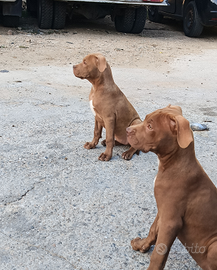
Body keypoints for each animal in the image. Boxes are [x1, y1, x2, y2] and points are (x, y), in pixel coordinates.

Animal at [126, 105, 217, 270]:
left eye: (150, 126)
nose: (127, 130)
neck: (172, 164)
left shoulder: (171, 221)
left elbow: (158, 253)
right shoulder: (164, 209)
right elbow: (153, 230)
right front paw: (142, 245)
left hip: (214, 245)